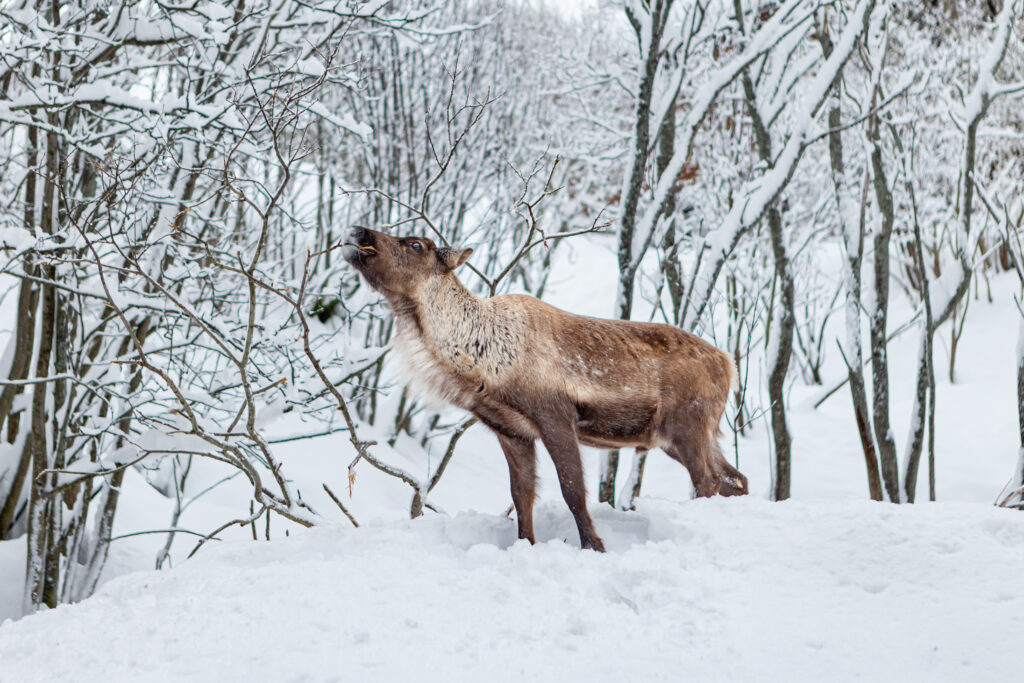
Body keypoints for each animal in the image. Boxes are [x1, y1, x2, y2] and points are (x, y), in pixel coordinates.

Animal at [343, 227, 747, 552]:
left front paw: (594, 546)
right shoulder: (511, 431)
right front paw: (526, 544)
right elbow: (521, 495)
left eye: (416, 244)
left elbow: (573, 490)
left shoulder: (555, 417)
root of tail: (729, 363)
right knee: (735, 479)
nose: (361, 231)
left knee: (709, 481)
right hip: (683, 436)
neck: (484, 361)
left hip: (688, 425)